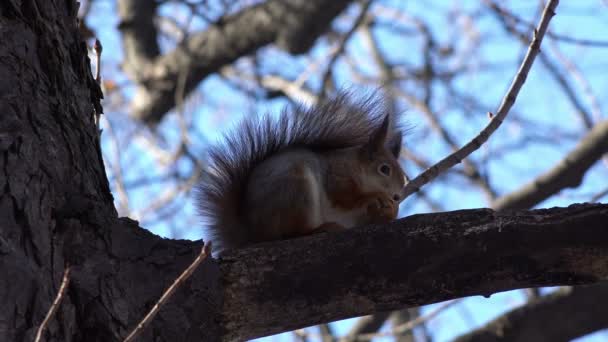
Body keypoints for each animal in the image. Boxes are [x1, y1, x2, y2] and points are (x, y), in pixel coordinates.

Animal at [197, 91, 406, 254]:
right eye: (384, 169)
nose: (397, 196)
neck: (356, 166)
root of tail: (253, 233)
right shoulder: (336, 175)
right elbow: (344, 196)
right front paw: (376, 196)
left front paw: (391, 210)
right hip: (296, 190)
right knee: (293, 233)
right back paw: (321, 228)